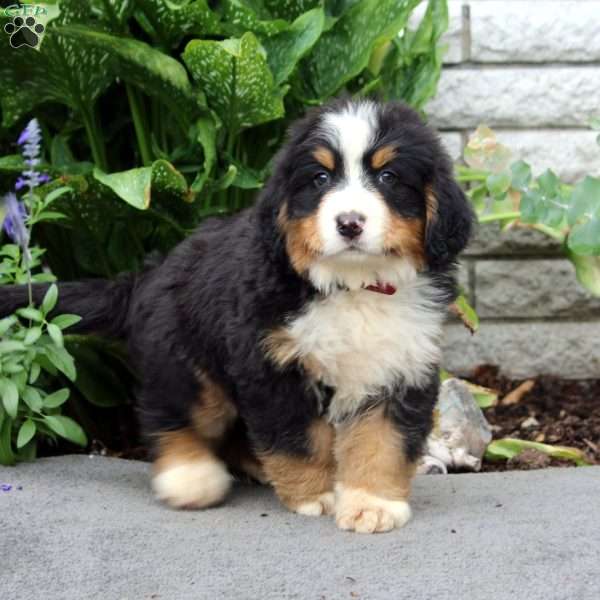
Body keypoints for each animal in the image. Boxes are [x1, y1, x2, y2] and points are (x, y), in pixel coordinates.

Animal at [2, 99, 476, 536]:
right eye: (320, 178)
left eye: (388, 177)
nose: (349, 223)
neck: (353, 285)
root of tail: (148, 274)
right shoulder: (272, 364)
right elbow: (299, 438)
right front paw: (314, 494)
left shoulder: (400, 366)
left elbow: (383, 442)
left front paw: (372, 504)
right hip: (187, 361)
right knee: (170, 411)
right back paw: (190, 477)